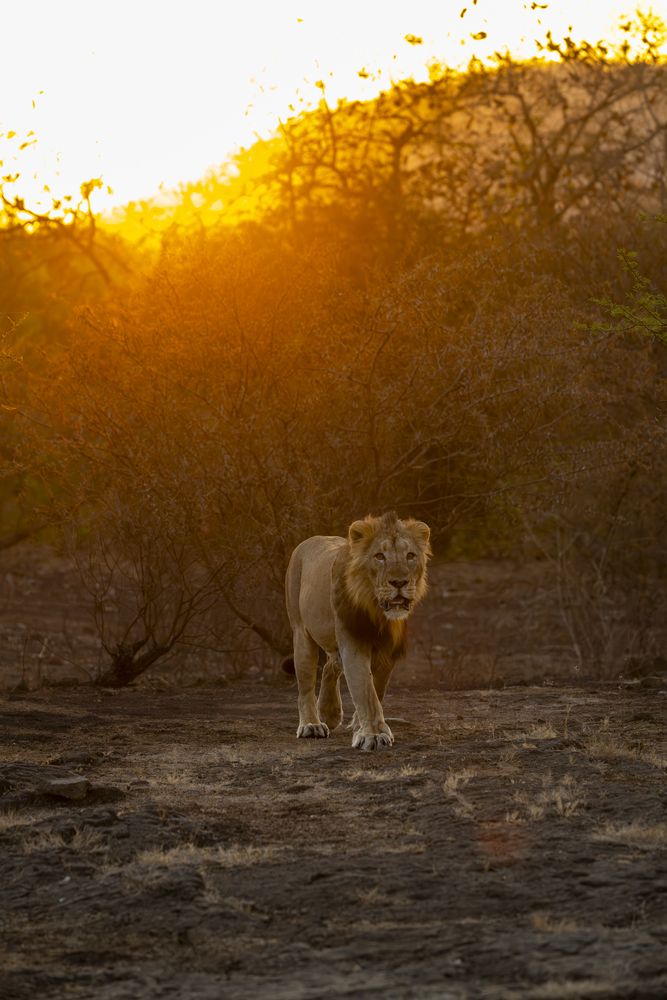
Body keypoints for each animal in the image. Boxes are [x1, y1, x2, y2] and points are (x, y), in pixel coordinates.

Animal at [284, 511, 431, 750]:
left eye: (410, 555)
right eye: (379, 556)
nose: (399, 582)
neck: (376, 610)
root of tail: (309, 540)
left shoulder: (388, 651)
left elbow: (376, 689)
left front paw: (360, 726)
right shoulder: (353, 642)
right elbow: (365, 689)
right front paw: (373, 735)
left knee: (331, 665)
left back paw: (330, 712)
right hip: (301, 632)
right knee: (305, 684)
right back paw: (311, 724)